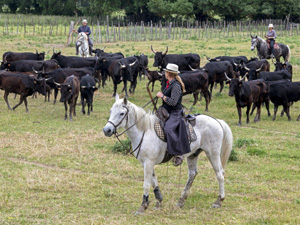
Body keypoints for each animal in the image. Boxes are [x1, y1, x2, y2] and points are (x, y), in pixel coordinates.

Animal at [102, 94, 233, 214]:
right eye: (111, 111)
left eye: (121, 113)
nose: (107, 130)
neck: (145, 131)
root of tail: (217, 121)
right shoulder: (146, 163)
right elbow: (154, 181)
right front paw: (159, 201)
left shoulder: (148, 162)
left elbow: (146, 184)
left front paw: (143, 206)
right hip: (193, 155)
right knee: (192, 174)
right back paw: (181, 200)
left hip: (213, 153)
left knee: (220, 174)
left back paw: (218, 201)